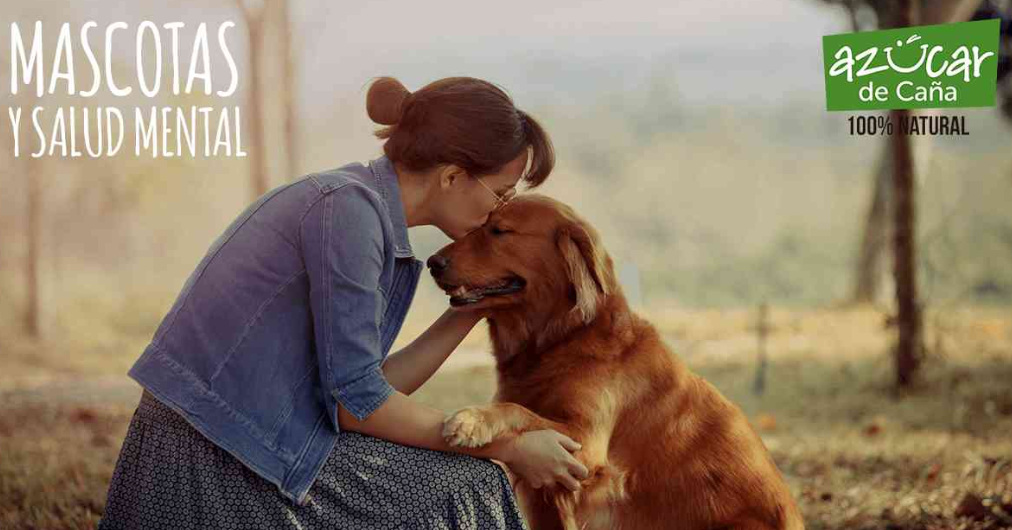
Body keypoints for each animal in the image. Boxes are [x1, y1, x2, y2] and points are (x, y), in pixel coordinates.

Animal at [427, 194, 805, 530]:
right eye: (479, 226)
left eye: (499, 231)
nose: (432, 262)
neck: (561, 340)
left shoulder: (582, 444)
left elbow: (516, 410)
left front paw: (471, 419)